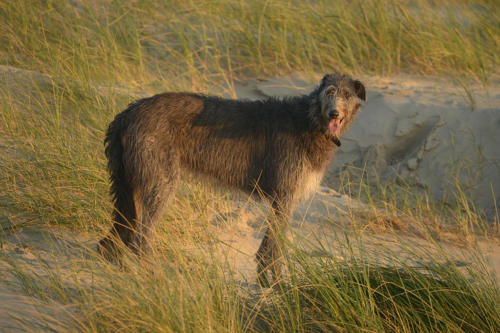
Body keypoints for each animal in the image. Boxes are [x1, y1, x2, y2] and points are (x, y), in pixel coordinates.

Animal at [97, 72, 366, 286]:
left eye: (347, 95)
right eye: (330, 92)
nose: (334, 112)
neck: (309, 120)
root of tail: (127, 113)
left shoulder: (281, 200)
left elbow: (270, 245)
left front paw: (266, 282)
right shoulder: (285, 196)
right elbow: (275, 247)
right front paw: (279, 285)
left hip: (132, 182)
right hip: (160, 182)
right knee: (142, 239)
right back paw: (156, 277)